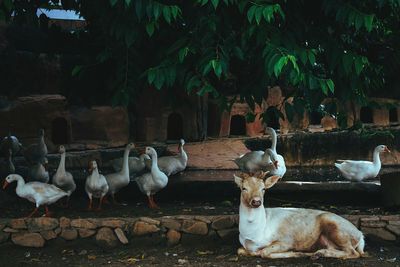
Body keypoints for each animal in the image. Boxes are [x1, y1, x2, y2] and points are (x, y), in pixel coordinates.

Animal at [234, 173, 366, 260]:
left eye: (263, 189)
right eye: (244, 188)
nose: (256, 201)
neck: (254, 235)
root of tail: (360, 235)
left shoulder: (287, 240)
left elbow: (264, 252)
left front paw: (296, 253)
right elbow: (240, 250)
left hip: (336, 228)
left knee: (354, 253)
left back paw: (317, 254)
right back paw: (318, 253)